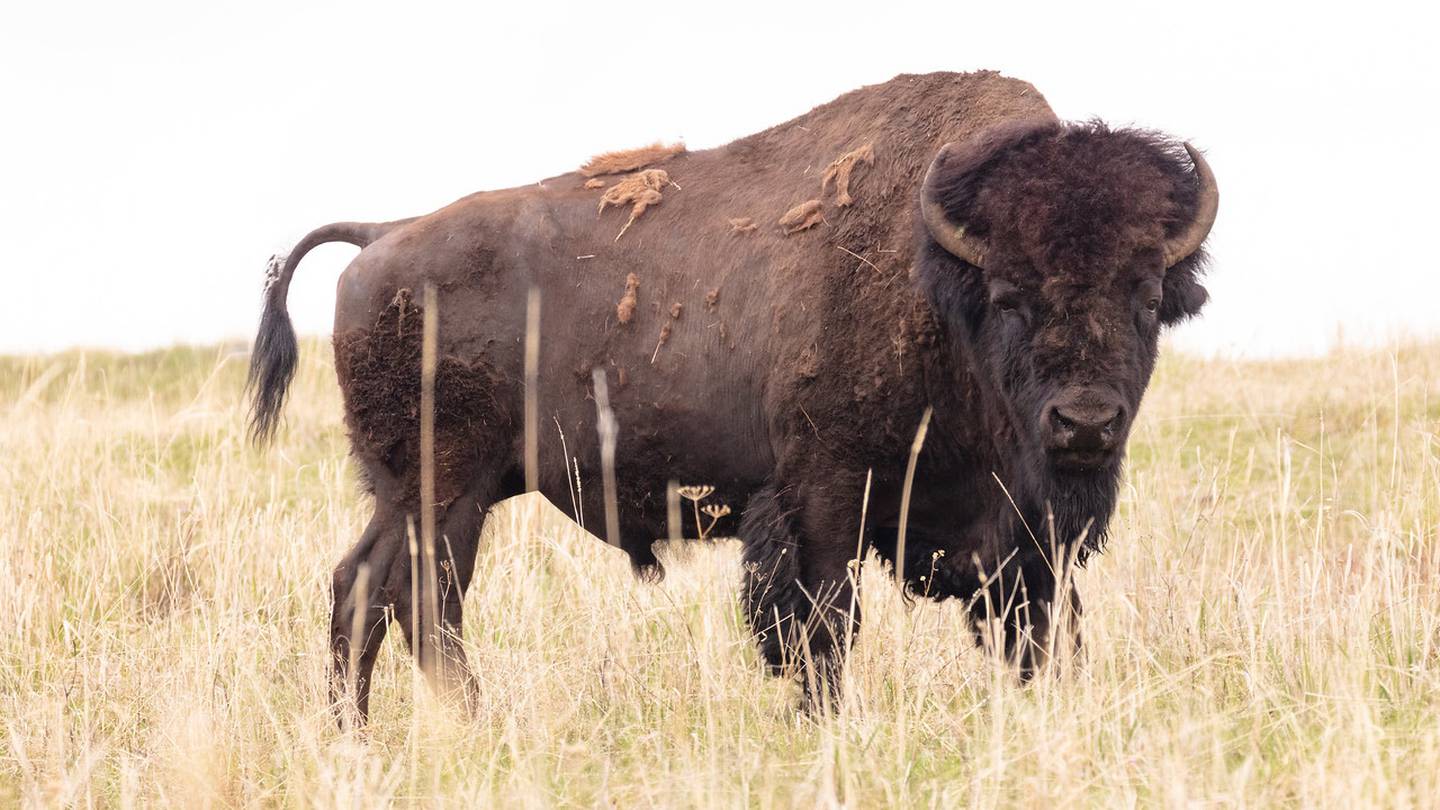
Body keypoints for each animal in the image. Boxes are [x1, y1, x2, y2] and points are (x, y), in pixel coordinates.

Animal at [247, 69, 1215, 711]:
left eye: (1147, 295)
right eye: (1010, 295)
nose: (1084, 424)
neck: (942, 284)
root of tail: (384, 235)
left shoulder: (1023, 534)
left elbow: (1039, 627)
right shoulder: (824, 495)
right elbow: (822, 625)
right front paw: (825, 722)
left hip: (427, 492)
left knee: (371, 591)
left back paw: (367, 733)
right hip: (442, 490)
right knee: (413, 597)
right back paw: (458, 722)